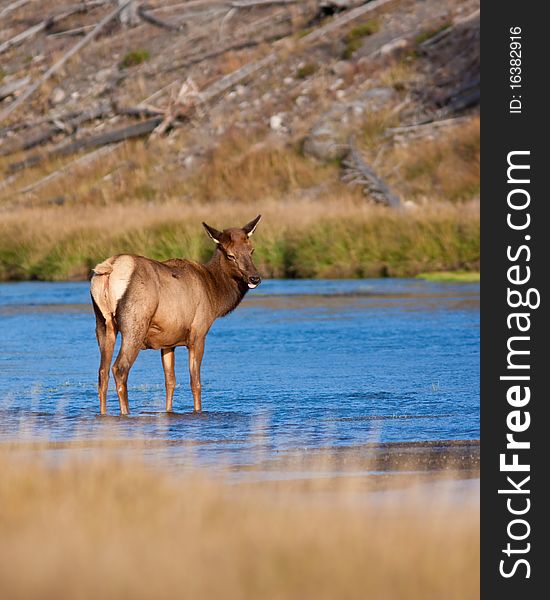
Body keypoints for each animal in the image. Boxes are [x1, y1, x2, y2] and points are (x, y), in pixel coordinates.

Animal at [90, 216, 264, 418]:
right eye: (230, 255)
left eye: (251, 250)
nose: (254, 278)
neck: (214, 294)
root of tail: (108, 270)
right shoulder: (198, 333)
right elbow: (195, 382)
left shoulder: (168, 342)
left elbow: (170, 381)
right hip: (134, 324)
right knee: (119, 369)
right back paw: (126, 413)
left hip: (103, 323)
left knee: (102, 372)